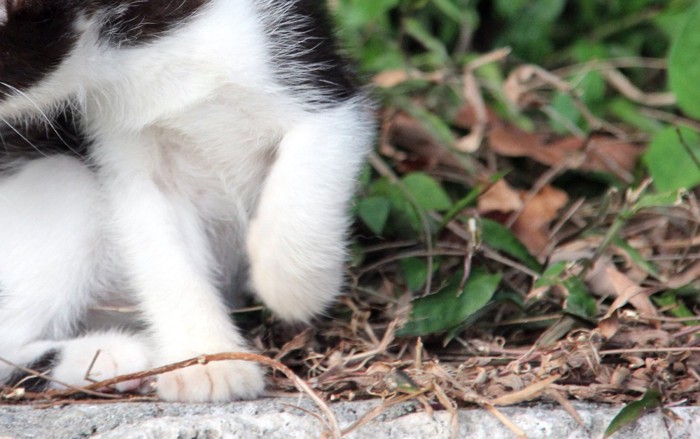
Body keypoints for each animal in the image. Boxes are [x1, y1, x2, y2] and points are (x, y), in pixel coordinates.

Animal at [0, 0, 374, 404]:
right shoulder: (126, 162)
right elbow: (164, 258)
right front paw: (207, 360)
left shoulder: (314, 80)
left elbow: (311, 168)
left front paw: (294, 289)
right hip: (64, 184)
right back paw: (115, 355)